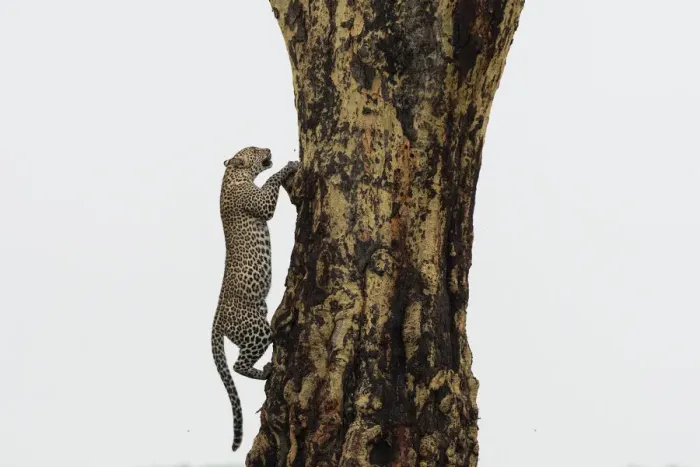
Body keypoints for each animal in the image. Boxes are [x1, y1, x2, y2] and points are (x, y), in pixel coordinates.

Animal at [211, 146, 298, 452]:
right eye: (253, 150)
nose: (268, 149)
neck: (231, 176)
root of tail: (216, 324)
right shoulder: (260, 203)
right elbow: (270, 181)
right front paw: (290, 166)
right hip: (255, 329)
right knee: (238, 365)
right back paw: (267, 370)